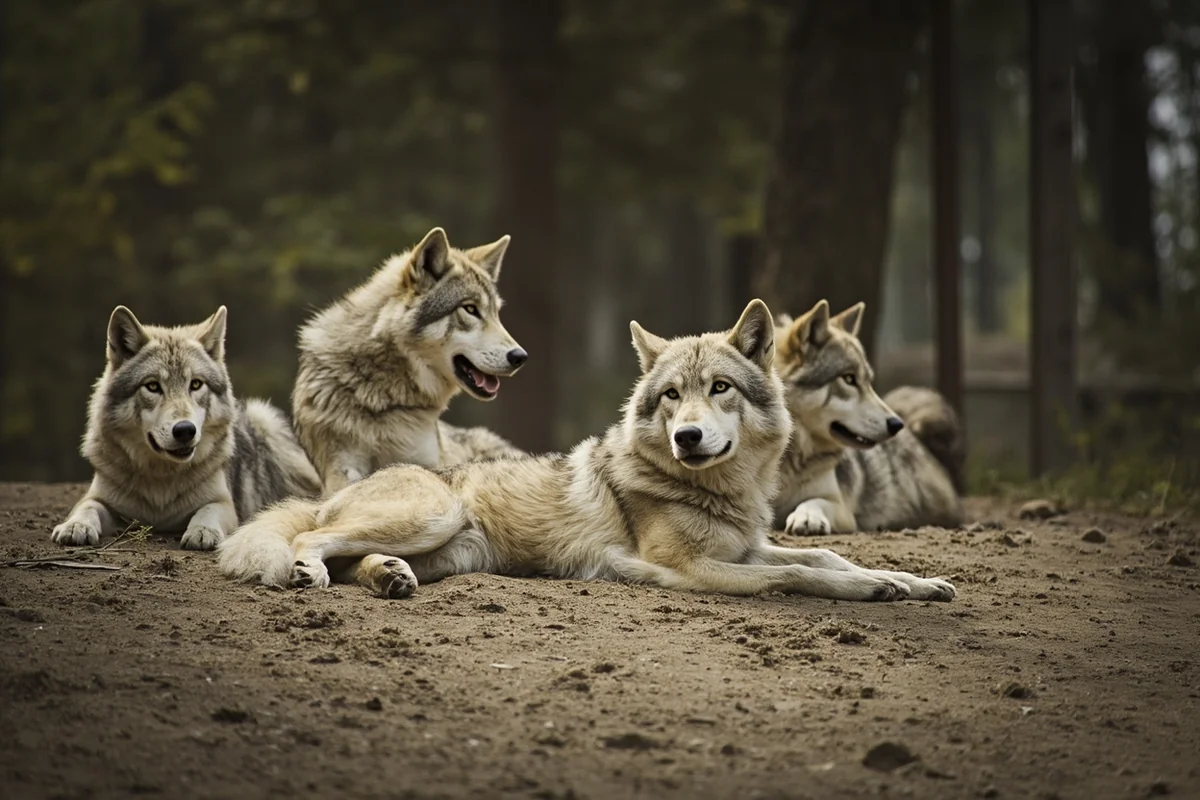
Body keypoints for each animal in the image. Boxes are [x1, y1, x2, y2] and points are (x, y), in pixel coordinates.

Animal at [51, 305, 321, 550]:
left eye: (196, 384)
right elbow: (86, 508)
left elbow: (207, 511)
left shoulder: (224, 504)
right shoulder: (98, 498)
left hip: (263, 418)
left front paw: (202, 531)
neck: (161, 481)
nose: (185, 430)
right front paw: (74, 527)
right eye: (152, 386)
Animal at [292, 226, 528, 497]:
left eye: (496, 314)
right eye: (470, 309)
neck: (383, 397)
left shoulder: (424, 461)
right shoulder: (340, 468)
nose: (520, 357)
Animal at [772, 300, 965, 535]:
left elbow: (813, 502)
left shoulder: (842, 509)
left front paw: (808, 517)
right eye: (848, 379)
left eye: (868, 381)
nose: (896, 424)